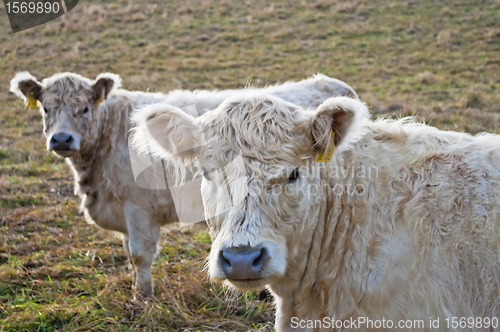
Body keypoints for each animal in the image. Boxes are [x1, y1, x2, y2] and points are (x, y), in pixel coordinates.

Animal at [9, 72, 358, 298]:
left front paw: (142, 298)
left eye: (84, 108)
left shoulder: (138, 209)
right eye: (46, 109)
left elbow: (140, 255)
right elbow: (129, 254)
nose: (61, 139)